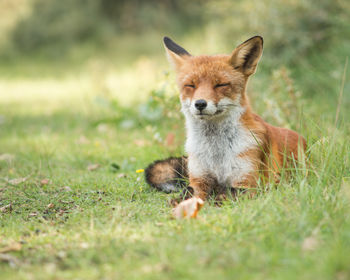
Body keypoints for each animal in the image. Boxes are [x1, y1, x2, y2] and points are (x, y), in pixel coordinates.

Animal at [145, 35, 306, 219]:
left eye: (220, 85)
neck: (216, 152)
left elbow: (225, 193)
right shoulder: (199, 179)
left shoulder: (250, 183)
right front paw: (181, 203)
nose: (200, 104)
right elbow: (189, 191)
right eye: (191, 85)